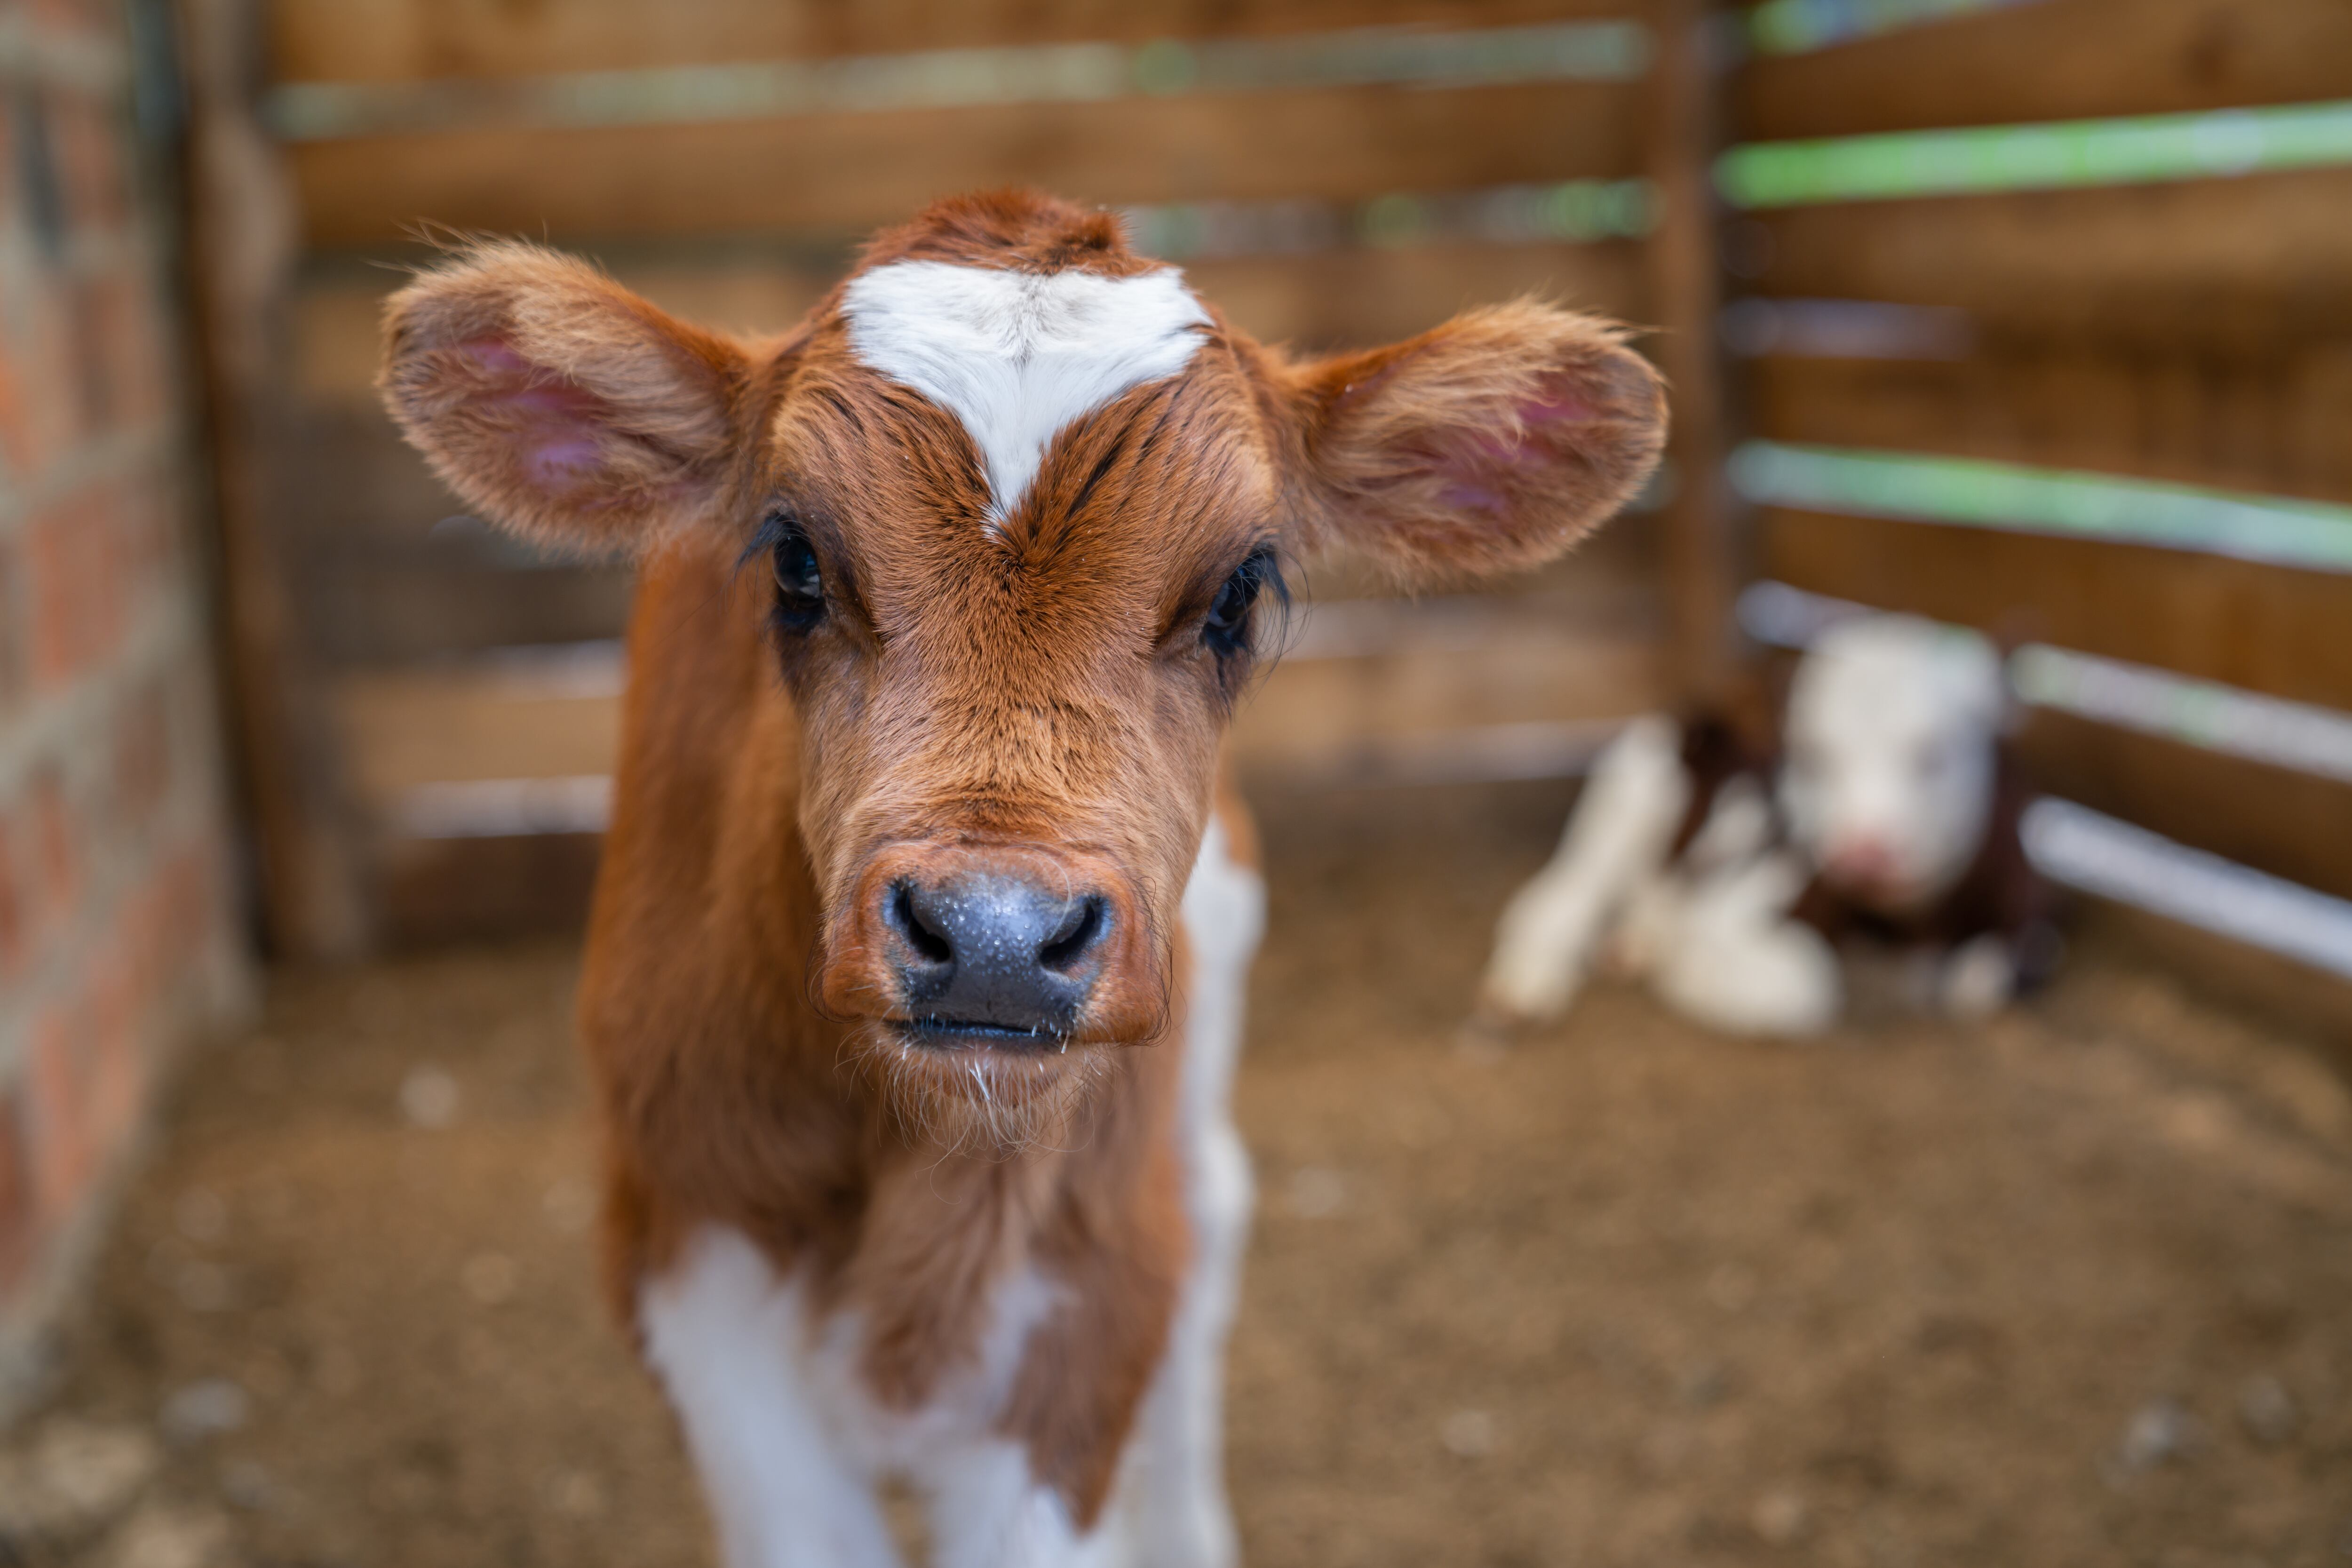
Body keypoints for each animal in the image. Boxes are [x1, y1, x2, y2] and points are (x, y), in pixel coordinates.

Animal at [379, 189, 1666, 1567]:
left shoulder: (1086, 1302)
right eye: (794, 562)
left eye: (1239, 591)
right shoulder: (693, 1267)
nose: (995, 934)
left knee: (1215, 1217)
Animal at [1478, 612, 2056, 1039]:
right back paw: (1525, 986)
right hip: (1624, 806)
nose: (1862, 853)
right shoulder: (1741, 905)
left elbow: (1981, 981)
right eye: (1813, 756)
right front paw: (1684, 967)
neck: (1907, 927)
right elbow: (1807, 989)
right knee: (1561, 896)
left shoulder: (2025, 913)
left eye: (1931, 754)